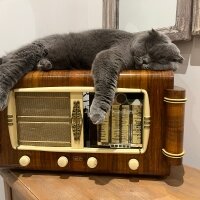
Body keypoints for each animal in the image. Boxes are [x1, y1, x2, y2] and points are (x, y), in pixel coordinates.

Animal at [0, 28, 184, 124]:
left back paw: (44, 65)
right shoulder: (109, 55)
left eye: (158, 61)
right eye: (148, 50)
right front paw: (97, 113)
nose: (145, 61)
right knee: (7, 70)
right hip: (32, 52)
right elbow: (106, 85)